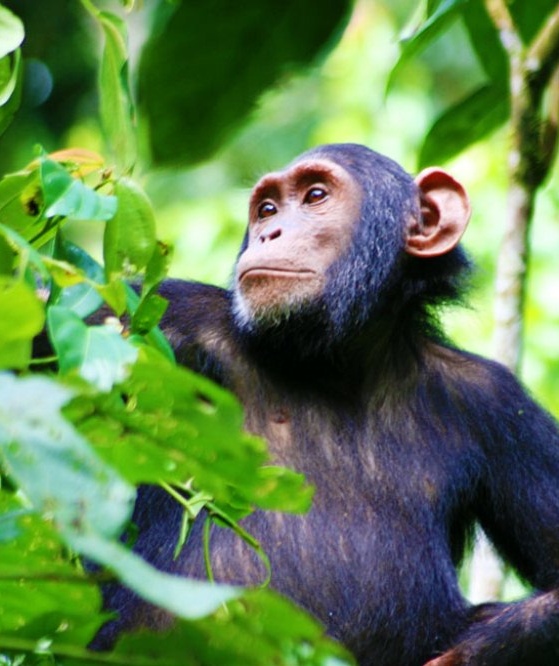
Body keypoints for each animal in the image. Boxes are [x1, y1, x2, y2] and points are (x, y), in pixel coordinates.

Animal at [93, 143, 559, 660]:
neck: (338, 363)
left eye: (315, 196)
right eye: (267, 208)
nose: (269, 232)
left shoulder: (499, 404)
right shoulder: (166, 317)